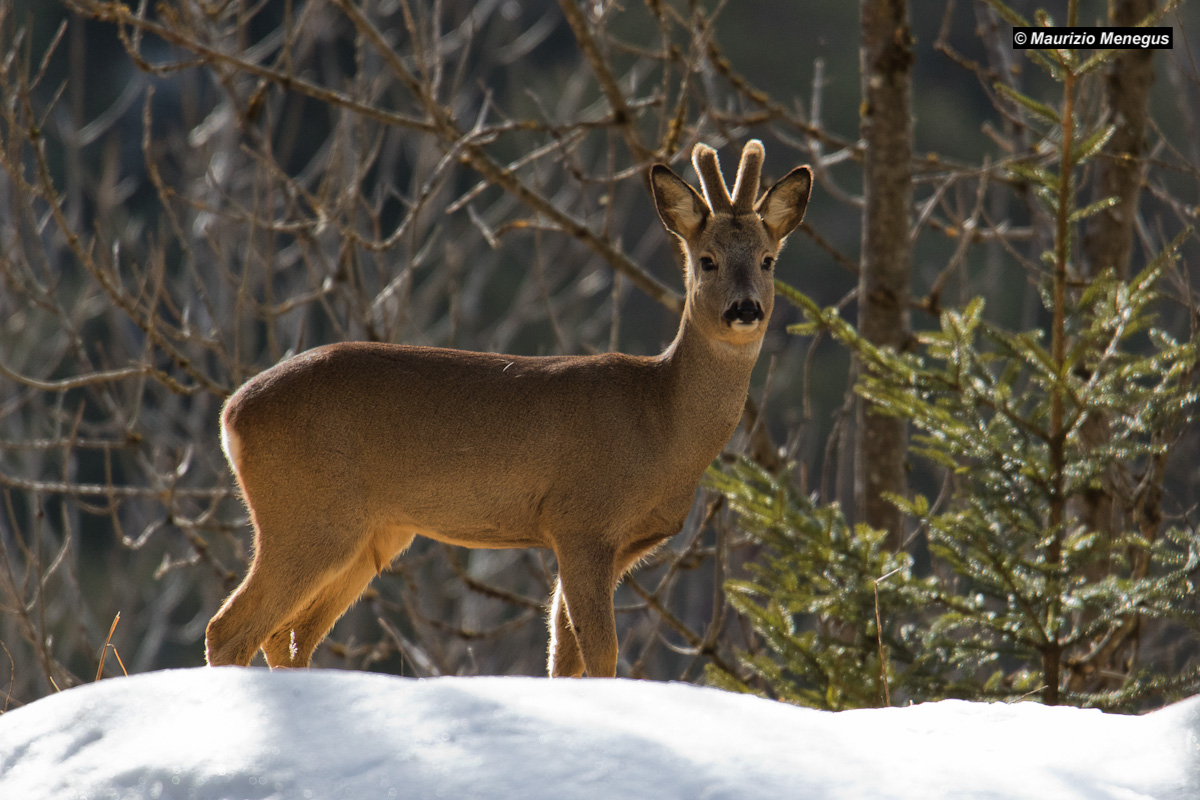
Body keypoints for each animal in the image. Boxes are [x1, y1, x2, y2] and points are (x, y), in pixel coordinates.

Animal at [205, 140, 812, 677]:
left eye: (768, 260)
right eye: (707, 260)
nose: (745, 309)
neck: (660, 422)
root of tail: (232, 413)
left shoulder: (611, 545)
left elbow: (562, 655)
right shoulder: (582, 520)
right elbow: (600, 654)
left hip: (371, 534)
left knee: (286, 636)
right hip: (307, 514)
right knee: (231, 628)